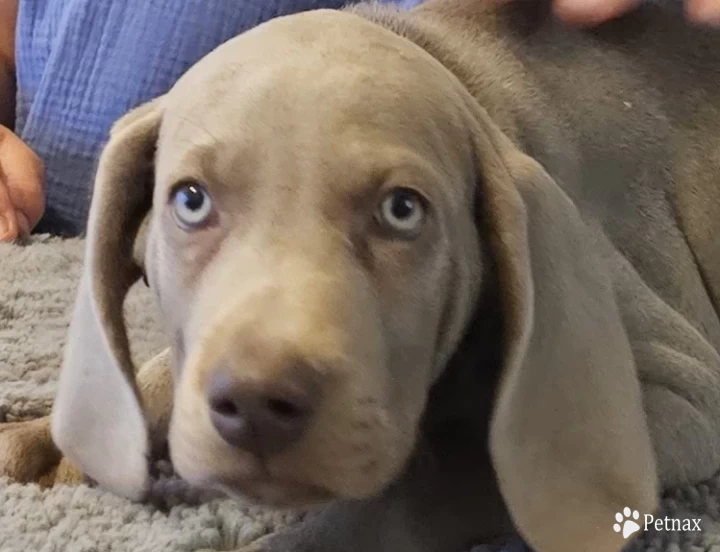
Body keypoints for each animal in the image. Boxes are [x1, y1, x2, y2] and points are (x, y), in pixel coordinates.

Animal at [1, 0, 720, 548]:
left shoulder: (676, 396)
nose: (257, 405)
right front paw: (48, 441)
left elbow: (445, 479)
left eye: (402, 210)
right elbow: (152, 378)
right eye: (190, 201)